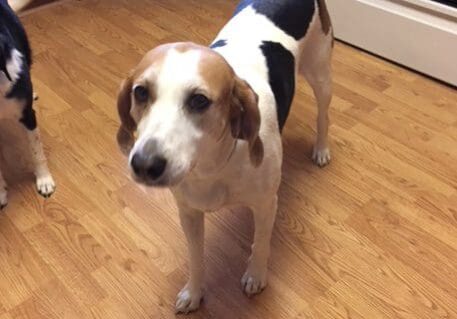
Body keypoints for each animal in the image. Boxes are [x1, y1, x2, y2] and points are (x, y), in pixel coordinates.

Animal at [116, 0, 332, 316]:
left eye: (199, 100)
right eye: (141, 93)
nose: (144, 164)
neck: (211, 166)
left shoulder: (266, 204)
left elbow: (260, 244)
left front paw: (255, 276)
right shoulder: (188, 212)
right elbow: (195, 256)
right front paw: (194, 292)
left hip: (320, 73)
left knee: (323, 115)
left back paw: (321, 148)